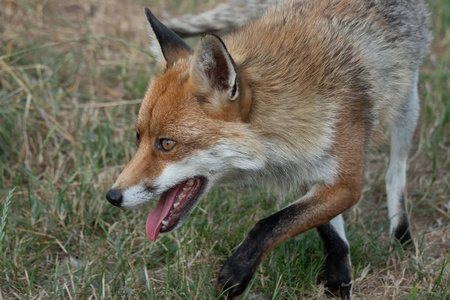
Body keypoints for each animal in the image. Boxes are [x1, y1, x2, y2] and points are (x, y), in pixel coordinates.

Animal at [105, 0, 432, 298]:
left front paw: (236, 273)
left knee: (395, 172)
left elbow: (271, 223)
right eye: (138, 137)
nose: (112, 197)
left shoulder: (347, 181)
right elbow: (328, 231)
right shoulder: (310, 171)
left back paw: (401, 233)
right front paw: (339, 276)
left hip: (408, 104)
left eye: (167, 144)